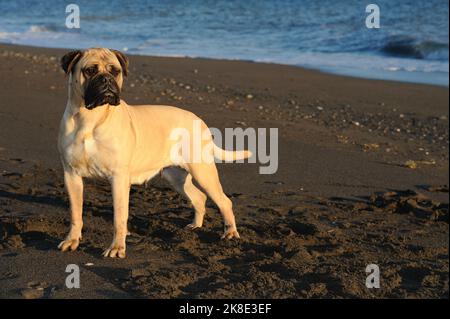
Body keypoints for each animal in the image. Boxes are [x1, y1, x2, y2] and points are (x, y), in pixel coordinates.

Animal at [57, 47, 251, 258]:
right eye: (90, 70)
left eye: (115, 71)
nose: (106, 79)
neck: (90, 118)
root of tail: (199, 120)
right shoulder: (71, 175)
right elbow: (75, 213)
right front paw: (72, 240)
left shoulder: (118, 178)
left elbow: (119, 217)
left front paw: (117, 247)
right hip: (175, 176)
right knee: (199, 198)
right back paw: (196, 226)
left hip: (203, 172)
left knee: (224, 201)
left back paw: (230, 232)